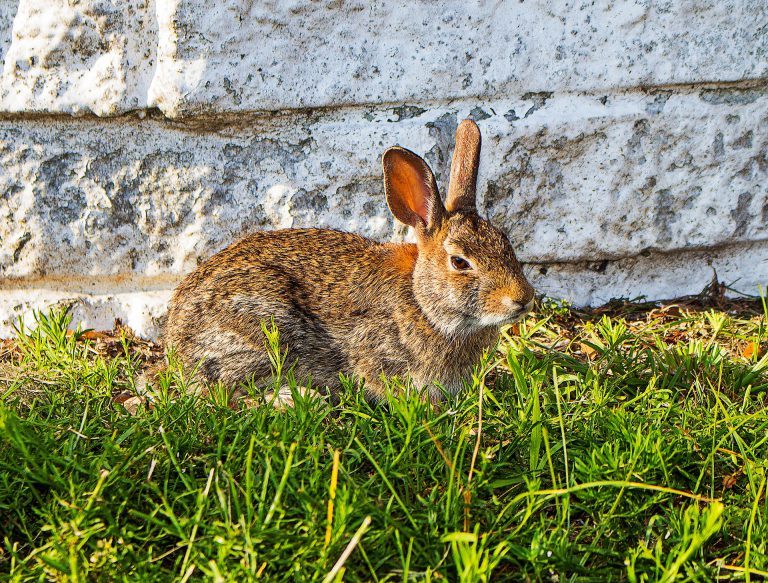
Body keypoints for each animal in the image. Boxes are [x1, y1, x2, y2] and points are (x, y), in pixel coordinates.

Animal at [162, 118, 536, 402]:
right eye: (460, 262)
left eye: (506, 243)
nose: (523, 299)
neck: (422, 303)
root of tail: (176, 341)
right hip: (259, 327)